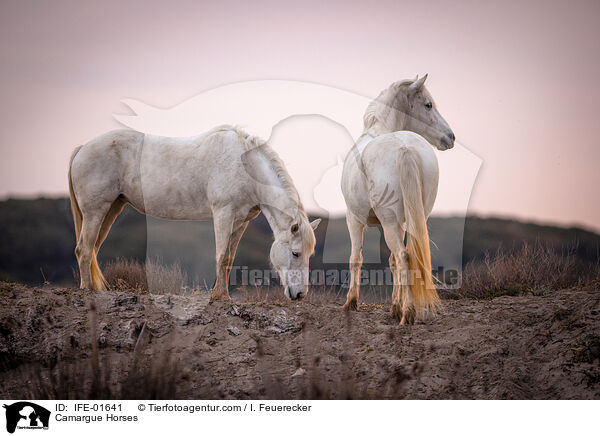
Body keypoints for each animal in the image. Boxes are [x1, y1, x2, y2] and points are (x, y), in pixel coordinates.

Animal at [68, 126, 322, 302]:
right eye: (296, 253)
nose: (300, 294)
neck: (244, 166)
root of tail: (82, 148)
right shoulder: (223, 213)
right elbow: (221, 256)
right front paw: (219, 297)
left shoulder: (240, 221)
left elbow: (230, 258)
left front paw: (221, 295)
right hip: (95, 211)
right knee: (84, 250)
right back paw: (87, 290)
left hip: (112, 209)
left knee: (92, 249)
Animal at [342, 73, 454, 322]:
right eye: (428, 105)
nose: (451, 137)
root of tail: (405, 148)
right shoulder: (401, 222)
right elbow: (392, 263)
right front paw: (394, 306)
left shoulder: (354, 219)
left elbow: (356, 258)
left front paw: (350, 303)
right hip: (414, 218)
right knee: (409, 256)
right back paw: (406, 309)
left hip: (387, 222)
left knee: (404, 256)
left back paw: (409, 313)